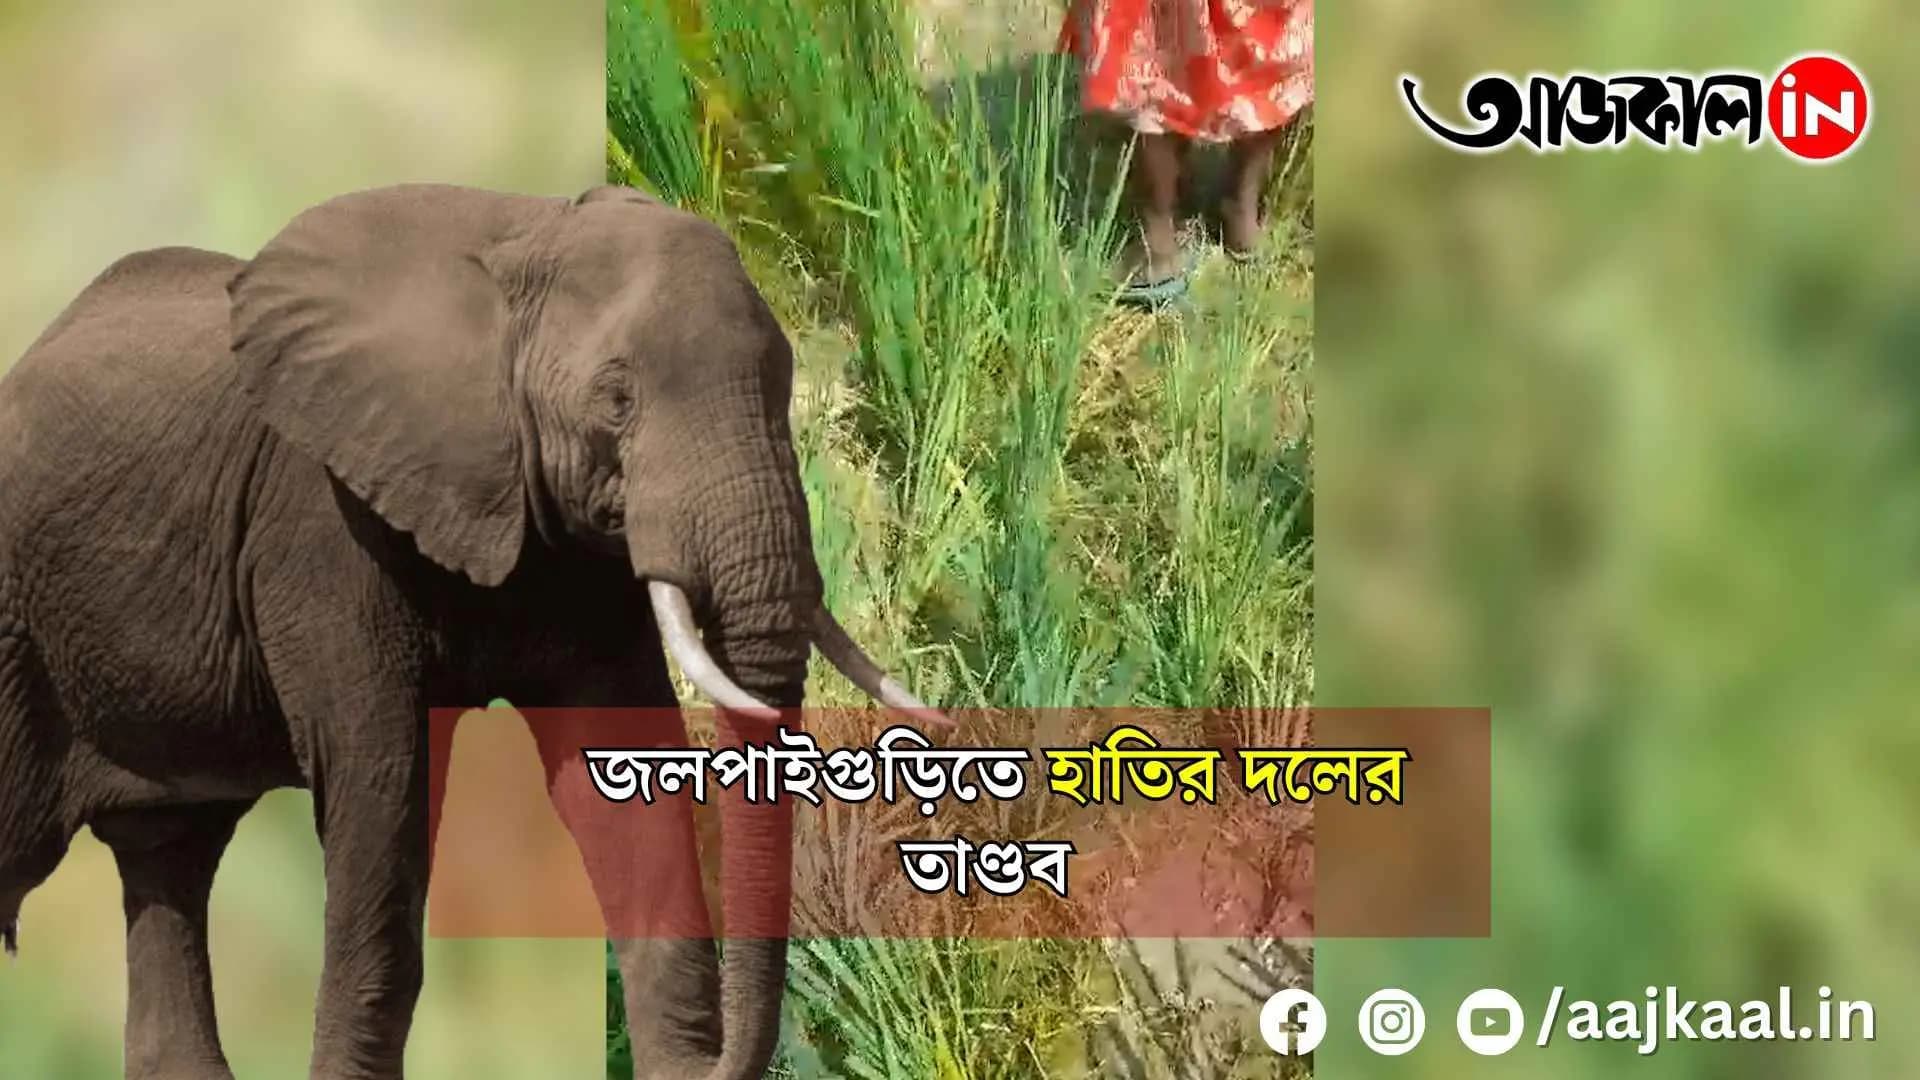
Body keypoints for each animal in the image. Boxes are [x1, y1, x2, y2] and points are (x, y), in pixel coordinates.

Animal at [0, 182, 940, 1079]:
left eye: (783, 382)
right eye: (617, 400)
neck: (523, 244)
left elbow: (619, 780)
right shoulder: (323, 526)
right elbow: (382, 793)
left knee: (170, 855)